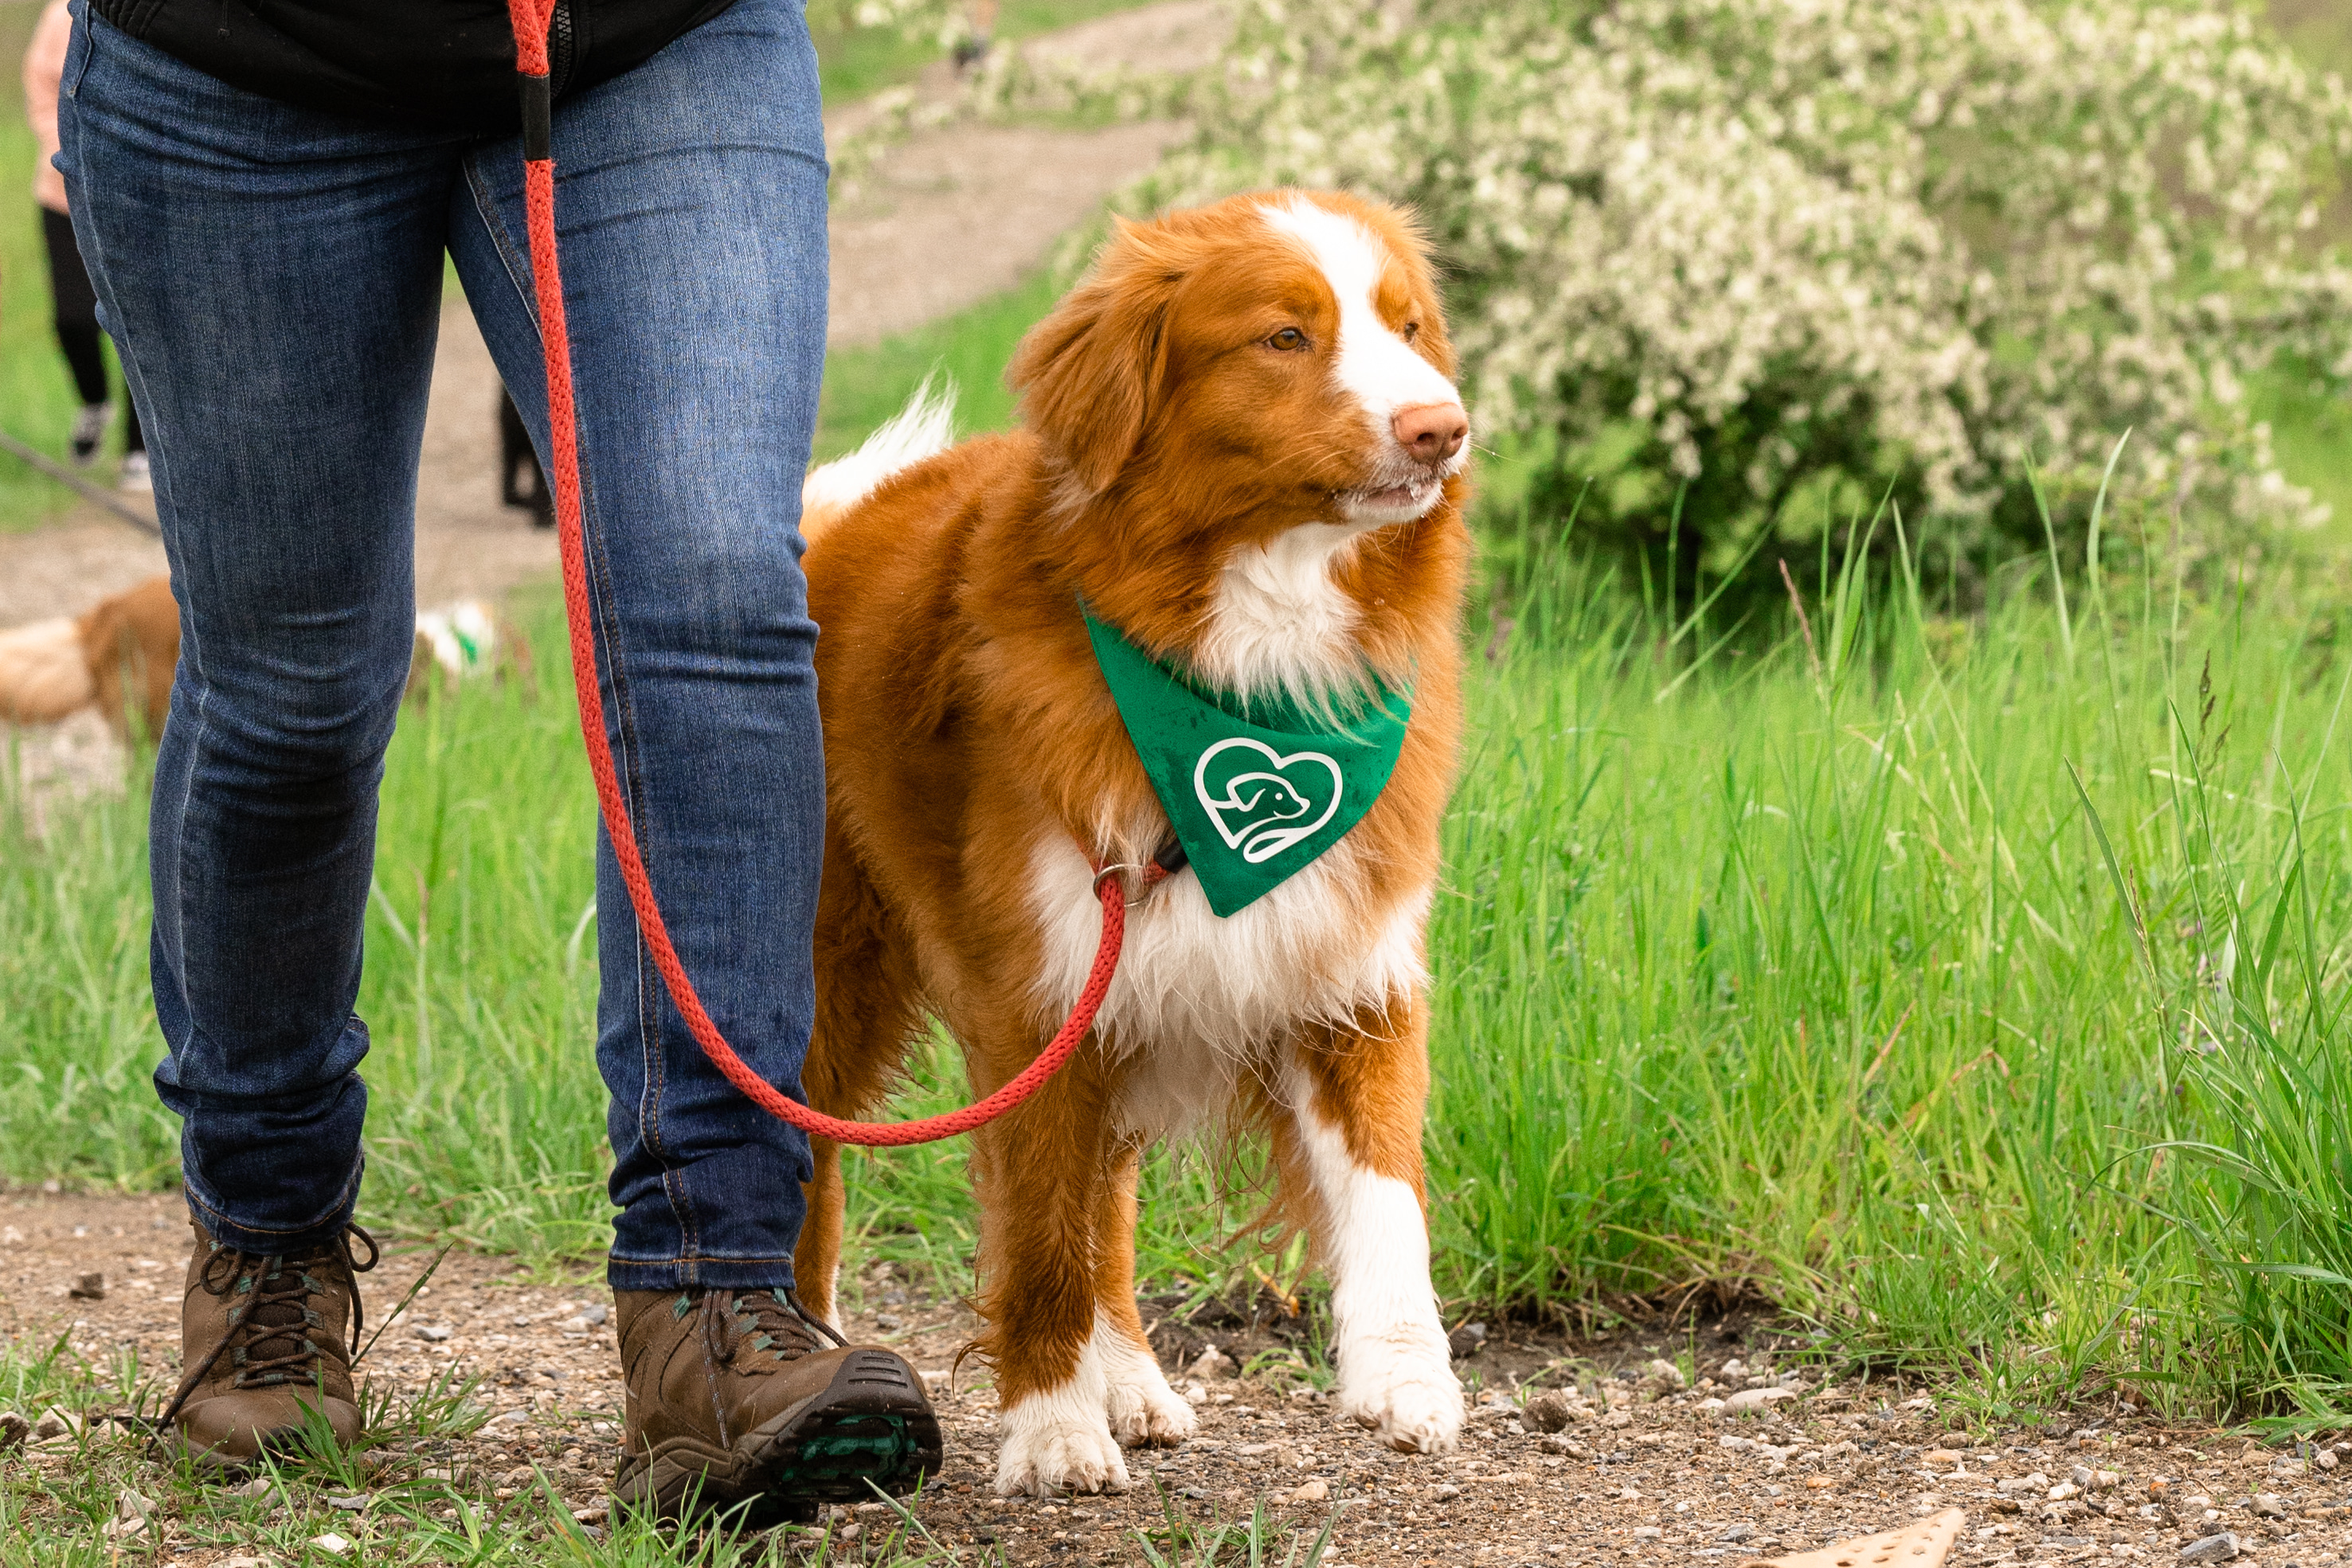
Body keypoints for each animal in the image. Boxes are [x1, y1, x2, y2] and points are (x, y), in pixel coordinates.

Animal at [800, 190, 1477, 1504]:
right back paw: (808, 1347)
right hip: (829, 978)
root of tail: (835, 518)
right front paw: (1052, 1428)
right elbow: (1041, 1238)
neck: (1252, 658)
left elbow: (1386, 1193)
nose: (1443, 430)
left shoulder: (1345, 964)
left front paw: (1404, 1377)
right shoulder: (1039, 990)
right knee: (810, 1161)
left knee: (1101, 1204)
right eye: (1283, 336)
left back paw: (1131, 1378)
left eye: (1407, 325)